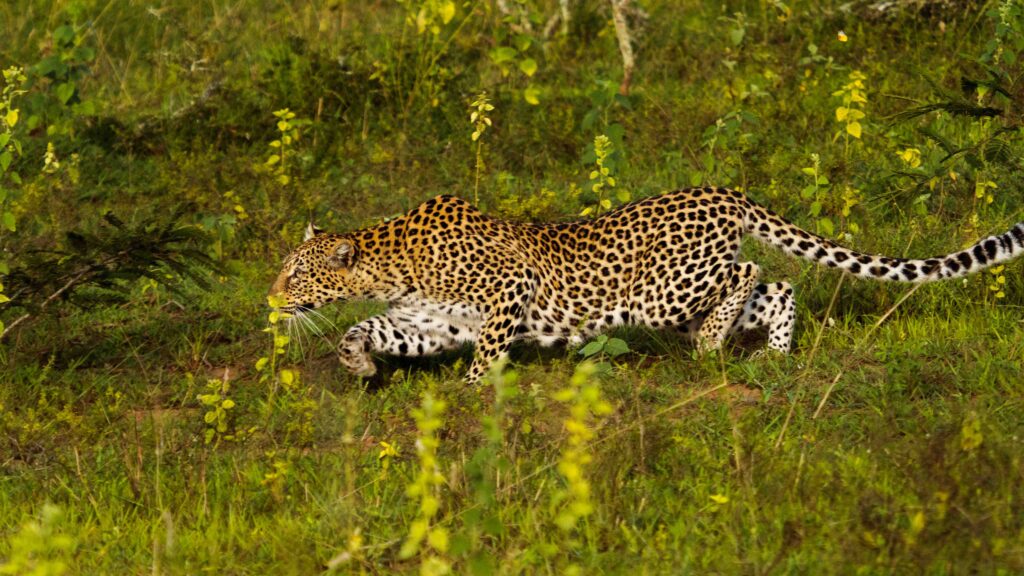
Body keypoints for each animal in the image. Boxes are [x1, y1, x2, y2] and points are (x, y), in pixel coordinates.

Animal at [269, 187, 1024, 384]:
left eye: (294, 272)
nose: (271, 298)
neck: (390, 264)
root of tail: (725, 191)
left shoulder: (508, 290)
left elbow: (485, 358)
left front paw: (475, 394)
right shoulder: (433, 321)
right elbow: (365, 326)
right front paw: (359, 361)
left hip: (665, 292)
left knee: (752, 272)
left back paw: (716, 346)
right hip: (682, 297)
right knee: (778, 288)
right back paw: (771, 356)